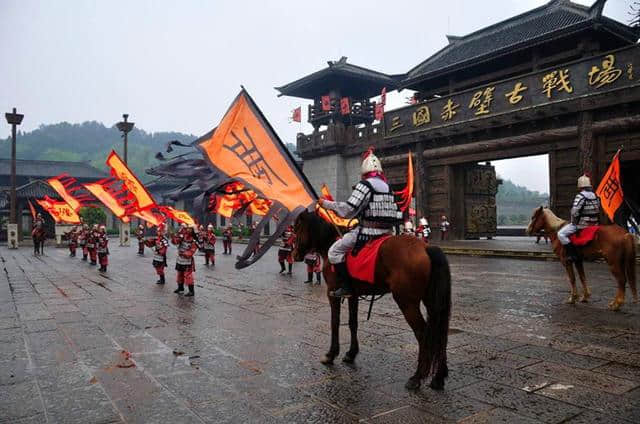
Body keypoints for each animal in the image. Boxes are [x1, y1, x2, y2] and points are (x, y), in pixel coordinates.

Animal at [292, 210, 452, 392]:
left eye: (297, 228)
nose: (294, 254)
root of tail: (425, 247)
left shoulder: (332, 293)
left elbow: (335, 323)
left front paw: (331, 355)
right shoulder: (353, 295)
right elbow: (353, 323)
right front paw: (351, 354)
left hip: (407, 302)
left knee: (423, 333)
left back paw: (417, 377)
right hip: (431, 300)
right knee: (439, 331)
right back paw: (438, 378)